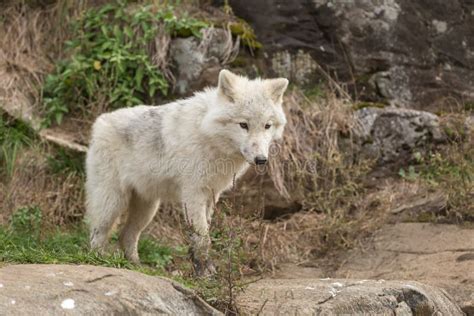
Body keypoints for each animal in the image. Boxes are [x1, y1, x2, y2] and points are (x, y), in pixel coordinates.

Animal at [85, 68, 288, 274]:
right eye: (243, 125)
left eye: (267, 126)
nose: (261, 160)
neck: (207, 134)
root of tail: (99, 122)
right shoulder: (193, 193)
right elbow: (203, 237)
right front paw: (205, 273)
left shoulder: (211, 195)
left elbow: (202, 233)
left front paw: (202, 267)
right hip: (112, 203)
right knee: (97, 234)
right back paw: (99, 261)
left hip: (147, 209)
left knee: (126, 235)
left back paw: (136, 266)